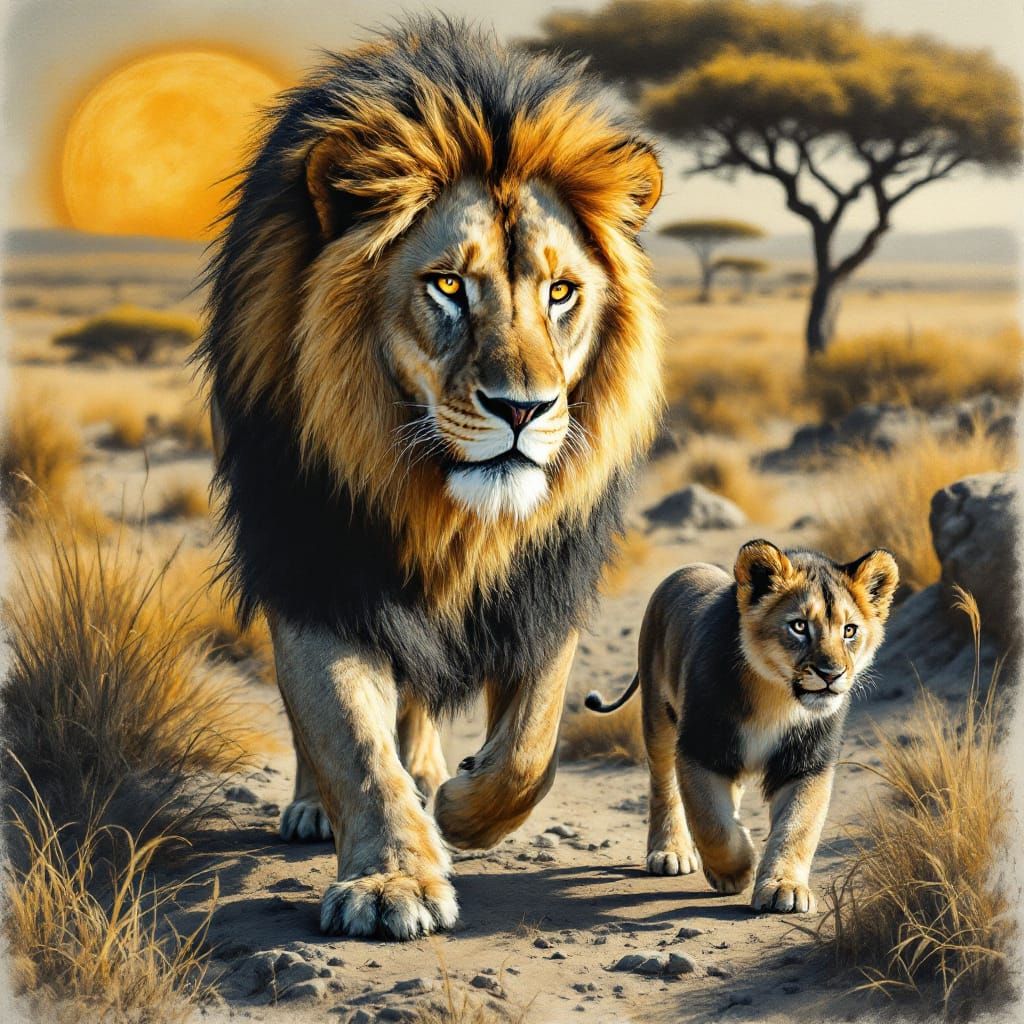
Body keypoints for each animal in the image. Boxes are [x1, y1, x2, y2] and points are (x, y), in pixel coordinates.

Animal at [198, 17, 664, 940]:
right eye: (448, 284)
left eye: (562, 292)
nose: (523, 409)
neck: (439, 505)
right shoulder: (316, 563)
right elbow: (348, 734)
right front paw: (392, 879)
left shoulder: (547, 575)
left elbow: (533, 743)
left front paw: (460, 809)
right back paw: (318, 807)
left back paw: (431, 777)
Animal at [586, 540, 898, 914]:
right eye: (799, 627)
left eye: (849, 631)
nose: (831, 673)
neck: (777, 697)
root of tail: (687, 568)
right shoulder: (700, 749)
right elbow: (712, 822)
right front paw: (735, 871)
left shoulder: (807, 763)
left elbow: (798, 827)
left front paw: (784, 887)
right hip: (657, 715)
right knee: (663, 785)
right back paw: (670, 852)